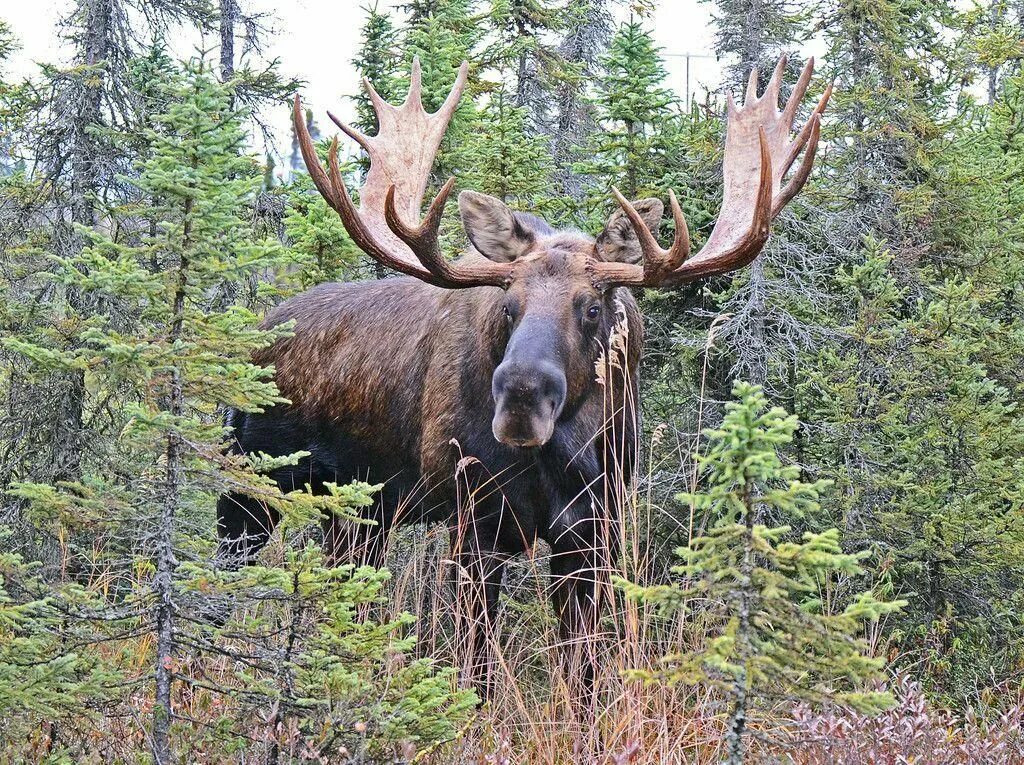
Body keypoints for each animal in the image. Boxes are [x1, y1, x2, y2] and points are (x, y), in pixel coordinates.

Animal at [220, 56, 827, 696]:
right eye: (508, 304)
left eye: (593, 306)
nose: (519, 400)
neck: (567, 454)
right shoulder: (476, 519)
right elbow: (476, 666)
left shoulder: (594, 529)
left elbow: (583, 667)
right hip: (249, 487)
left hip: (358, 511)